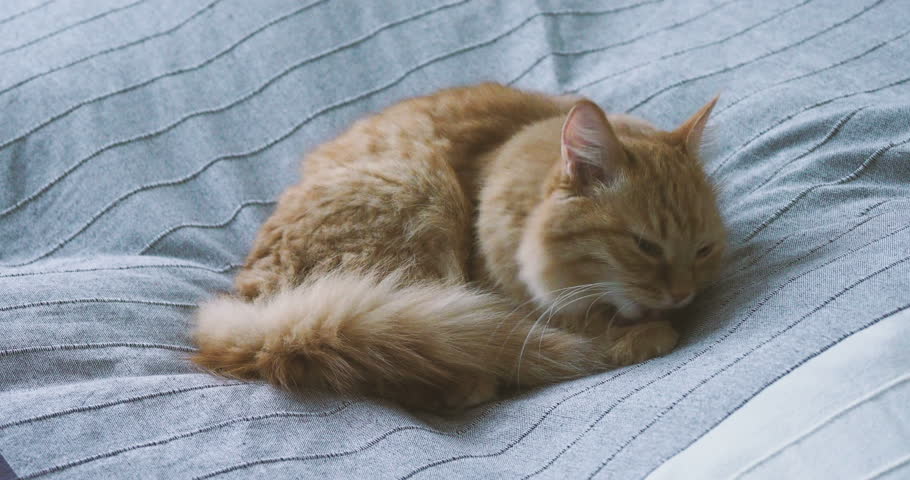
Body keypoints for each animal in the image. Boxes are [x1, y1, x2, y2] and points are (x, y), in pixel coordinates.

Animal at [191, 81, 728, 408]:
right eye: (645, 246)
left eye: (704, 251)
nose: (682, 295)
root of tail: (260, 315)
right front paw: (641, 334)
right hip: (420, 193)